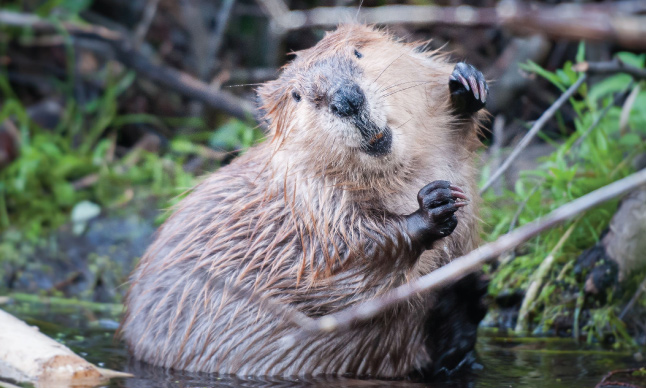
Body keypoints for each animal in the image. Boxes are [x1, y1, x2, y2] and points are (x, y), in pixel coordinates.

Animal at [119, 24, 488, 378]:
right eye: (297, 95)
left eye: (357, 53)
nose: (347, 100)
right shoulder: (310, 204)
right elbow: (344, 269)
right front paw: (433, 206)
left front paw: (466, 85)